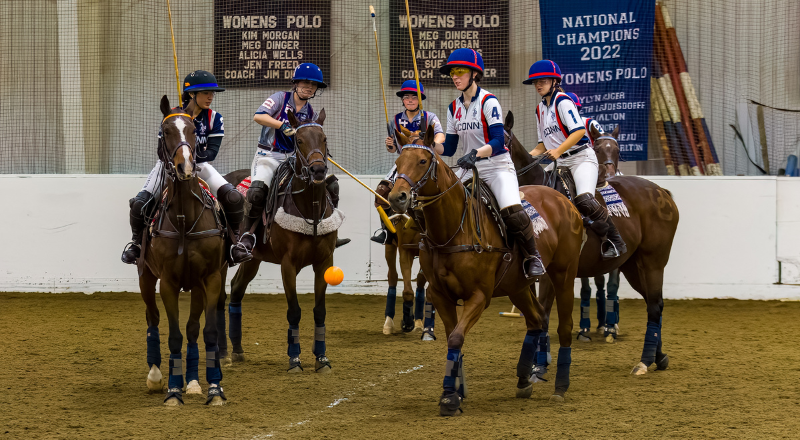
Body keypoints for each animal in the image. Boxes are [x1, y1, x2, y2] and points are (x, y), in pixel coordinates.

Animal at [139, 95, 228, 406]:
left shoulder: (210, 278)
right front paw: (173, 391)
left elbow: (206, 331)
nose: (186, 167)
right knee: (152, 319)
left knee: (192, 329)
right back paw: (155, 375)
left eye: (191, 130)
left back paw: (193, 381)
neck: (185, 221)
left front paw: (212, 388)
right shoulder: (167, 281)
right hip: (145, 276)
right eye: (165, 131)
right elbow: (174, 334)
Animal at [216, 109, 338, 372]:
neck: (310, 209)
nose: (318, 171)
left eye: (324, 138)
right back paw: (222, 354)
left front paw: (322, 358)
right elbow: (294, 311)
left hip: (252, 259)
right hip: (219, 259)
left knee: (237, 289)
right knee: (219, 299)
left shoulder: (324, 261)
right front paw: (295, 360)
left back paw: (237, 350)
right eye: (299, 140)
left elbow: (320, 311)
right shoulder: (288, 264)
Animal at [390, 128, 584, 416]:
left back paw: (560, 387)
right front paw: (457, 391)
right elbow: (452, 338)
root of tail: (564, 200)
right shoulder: (440, 295)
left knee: (564, 326)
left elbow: (456, 338)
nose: (396, 198)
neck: (452, 230)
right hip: (518, 285)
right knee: (537, 319)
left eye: (423, 161)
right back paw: (523, 379)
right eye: (398, 162)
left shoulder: (480, 296)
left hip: (563, 274)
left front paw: (449, 397)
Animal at [504, 111, 680, 376]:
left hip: (653, 262)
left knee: (654, 306)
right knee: (654, 302)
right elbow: (537, 315)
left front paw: (538, 365)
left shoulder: (552, 272)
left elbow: (543, 313)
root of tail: (662, 191)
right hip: (633, 265)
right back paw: (658, 357)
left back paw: (644, 360)